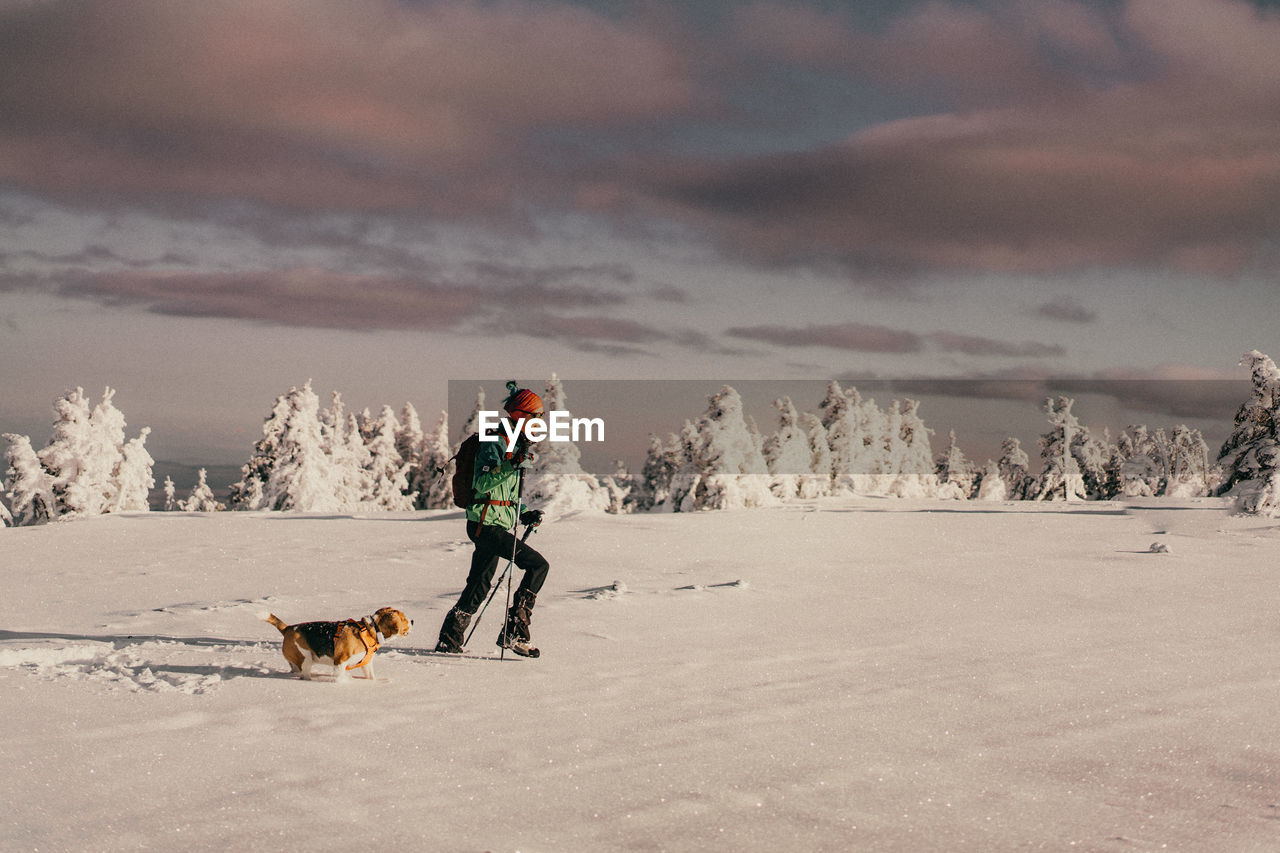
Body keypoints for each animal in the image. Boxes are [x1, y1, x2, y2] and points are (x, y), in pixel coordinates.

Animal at [263, 601, 412, 681]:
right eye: (404, 618)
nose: (413, 621)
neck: (371, 630)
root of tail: (288, 628)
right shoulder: (340, 661)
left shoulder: (366, 664)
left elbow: (371, 677)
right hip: (306, 659)